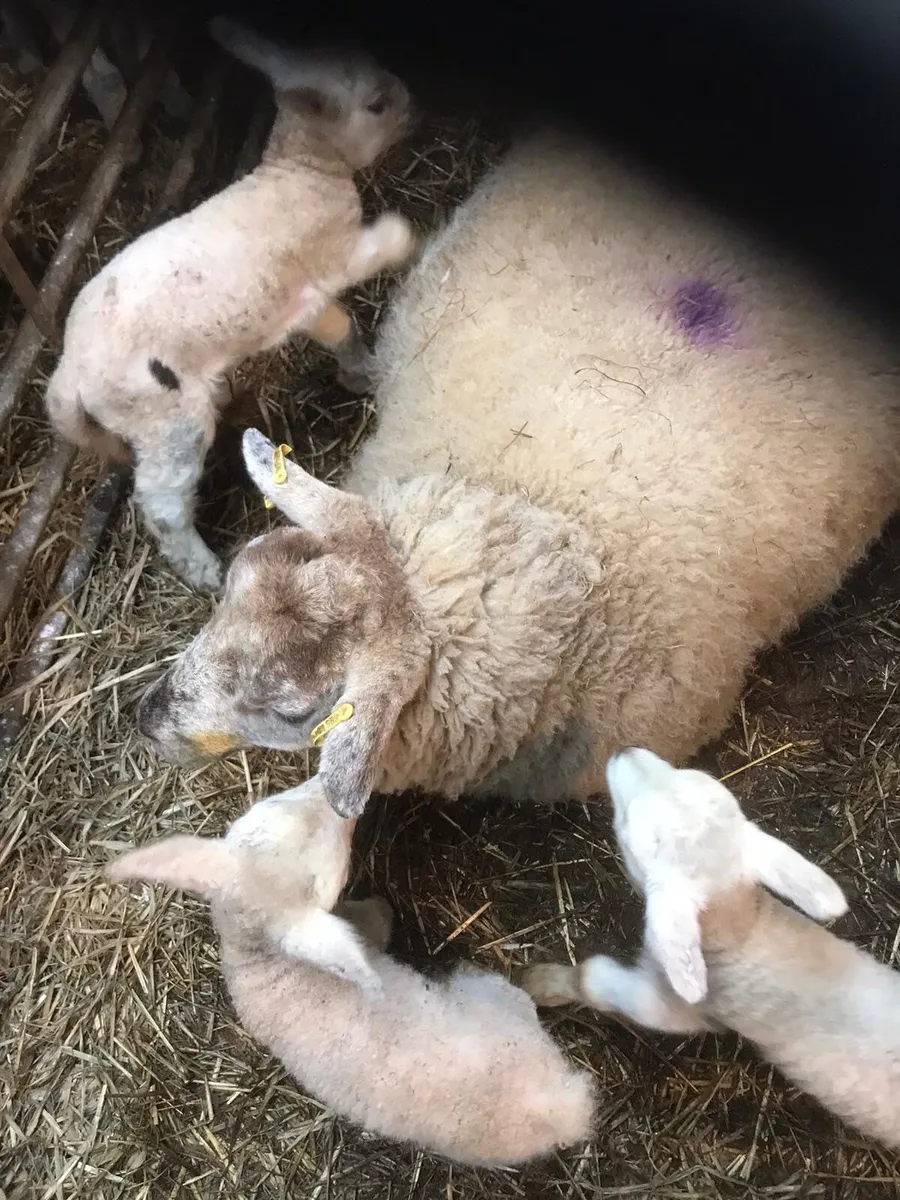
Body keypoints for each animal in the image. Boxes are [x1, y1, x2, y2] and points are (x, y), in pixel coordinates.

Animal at [44, 16, 417, 593]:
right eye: (377, 103)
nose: (414, 105)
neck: (301, 170)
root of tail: (66, 375)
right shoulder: (336, 255)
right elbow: (385, 248)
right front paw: (406, 236)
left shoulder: (303, 299)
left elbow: (340, 329)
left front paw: (358, 373)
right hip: (167, 423)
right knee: (162, 504)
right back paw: (203, 569)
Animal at [106, 776, 596, 1167]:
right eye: (333, 860)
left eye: (274, 801)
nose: (336, 786)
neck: (262, 959)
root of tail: (561, 1107)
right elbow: (374, 922)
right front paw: (381, 912)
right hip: (496, 999)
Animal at [519, 747, 900, 1152]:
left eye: (628, 828)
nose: (625, 751)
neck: (739, 925)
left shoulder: (680, 1009)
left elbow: (598, 982)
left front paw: (544, 982)